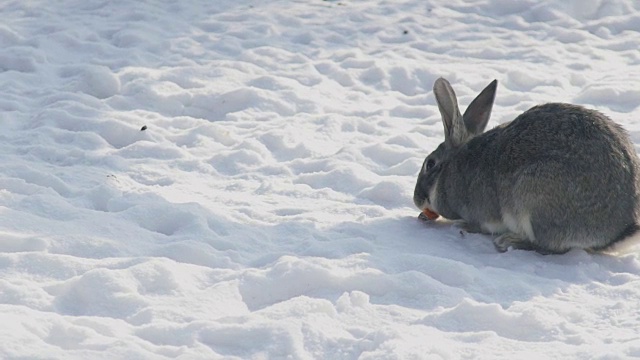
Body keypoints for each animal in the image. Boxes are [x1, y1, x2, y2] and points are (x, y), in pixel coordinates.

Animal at [416, 78, 640, 253]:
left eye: (430, 164)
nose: (417, 200)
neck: (453, 167)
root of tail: (617, 232)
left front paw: (462, 226)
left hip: (534, 196)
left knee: (550, 247)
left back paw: (508, 241)